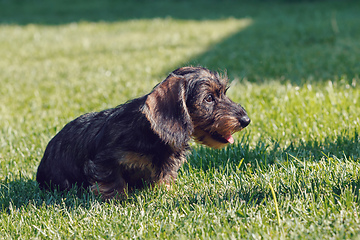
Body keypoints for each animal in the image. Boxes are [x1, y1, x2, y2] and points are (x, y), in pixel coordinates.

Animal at [36, 66, 250, 199]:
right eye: (208, 98)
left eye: (223, 93)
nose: (246, 120)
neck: (153, 136)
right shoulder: (105, 161)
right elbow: (112, 182)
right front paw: (118, 201)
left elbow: (164, 179)